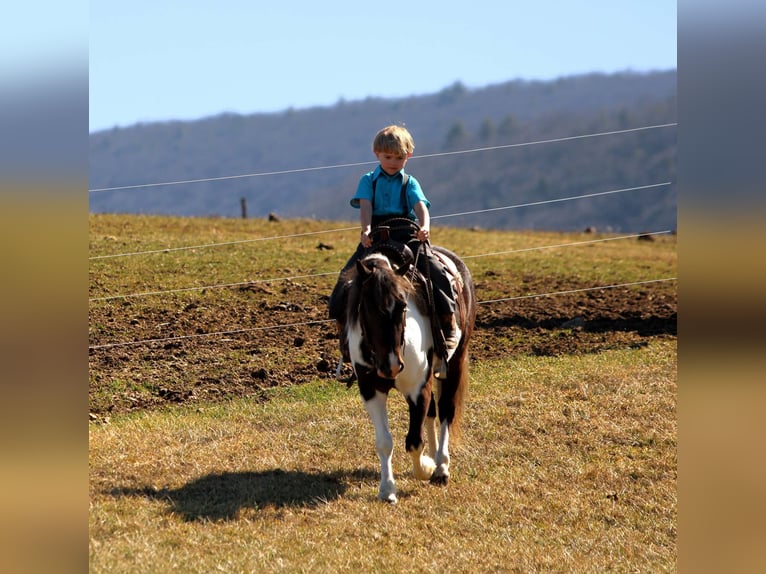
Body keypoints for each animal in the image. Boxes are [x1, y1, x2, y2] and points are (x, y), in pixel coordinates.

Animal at [341, 231, 477, 503]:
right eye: (365, 308)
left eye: (403, 305)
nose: (391, 366)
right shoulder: (371, 390)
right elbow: (384, 442)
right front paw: (387, 490)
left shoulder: (418, 388)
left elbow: (414, 441)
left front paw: (425, 468)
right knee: (434, 411)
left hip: (455, 362)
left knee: (446, 410)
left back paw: (441, 467)